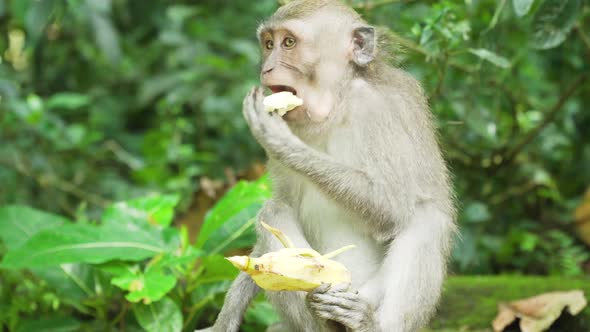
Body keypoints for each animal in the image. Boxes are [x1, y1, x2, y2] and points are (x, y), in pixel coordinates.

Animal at [199, 0, 458, 332]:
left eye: (289, 43)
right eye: (269, 44)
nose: (266, 68)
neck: (336, 106)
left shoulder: (377, 110)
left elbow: (393, 207)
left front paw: (283, 143)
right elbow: (284, 202)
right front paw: (229, 312)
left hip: (368, 293)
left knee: (426, 219)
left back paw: (368, 323)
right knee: (275, 210)